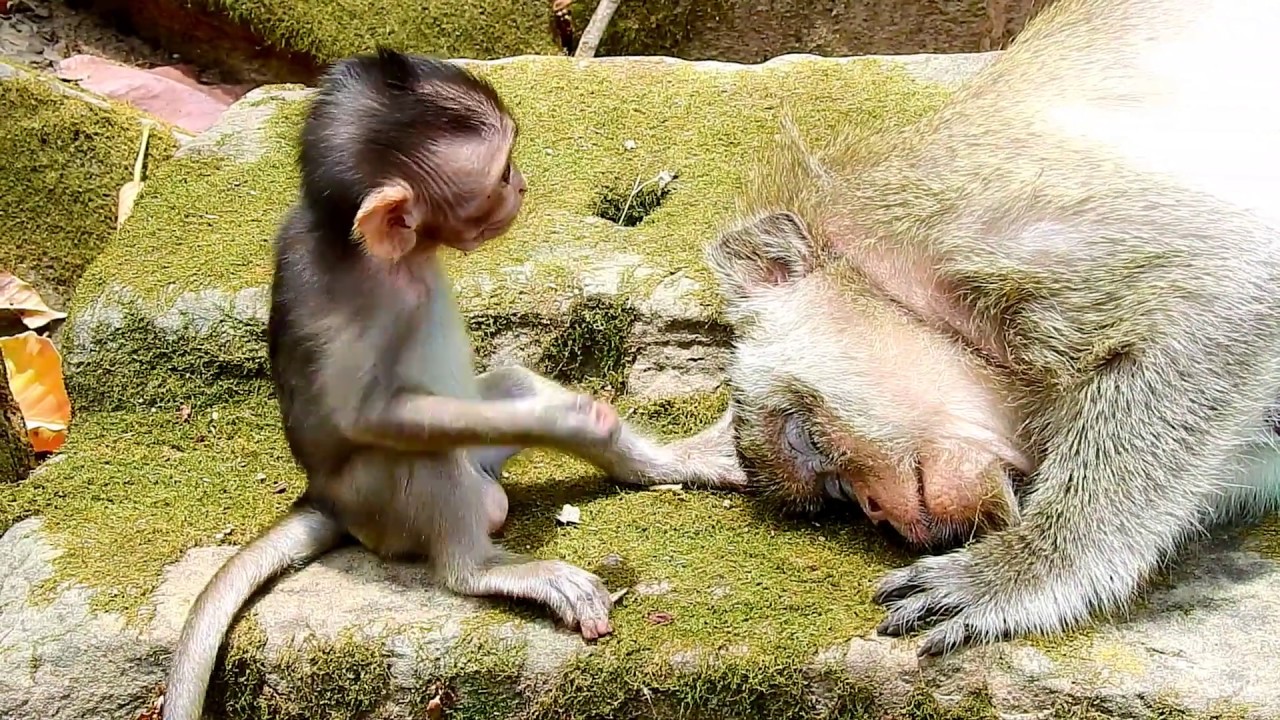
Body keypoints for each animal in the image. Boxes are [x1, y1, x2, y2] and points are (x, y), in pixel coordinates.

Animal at [160, 49, 746, 720]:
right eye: (500, 173)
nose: (523, 185)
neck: (371, 249)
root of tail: (322, 498)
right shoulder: (353, 305)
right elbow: (368, 415)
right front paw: (571, 417)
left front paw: (590, 424)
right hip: (380, 507)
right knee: (423, 455)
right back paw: (486, 569)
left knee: (509, 387)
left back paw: (661, 463)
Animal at [686, 0, 1280, 659]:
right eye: (837, 494)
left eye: (806, 439)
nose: (875, 508)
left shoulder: (958, 218)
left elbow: (1224, 288)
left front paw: (1029, 566)